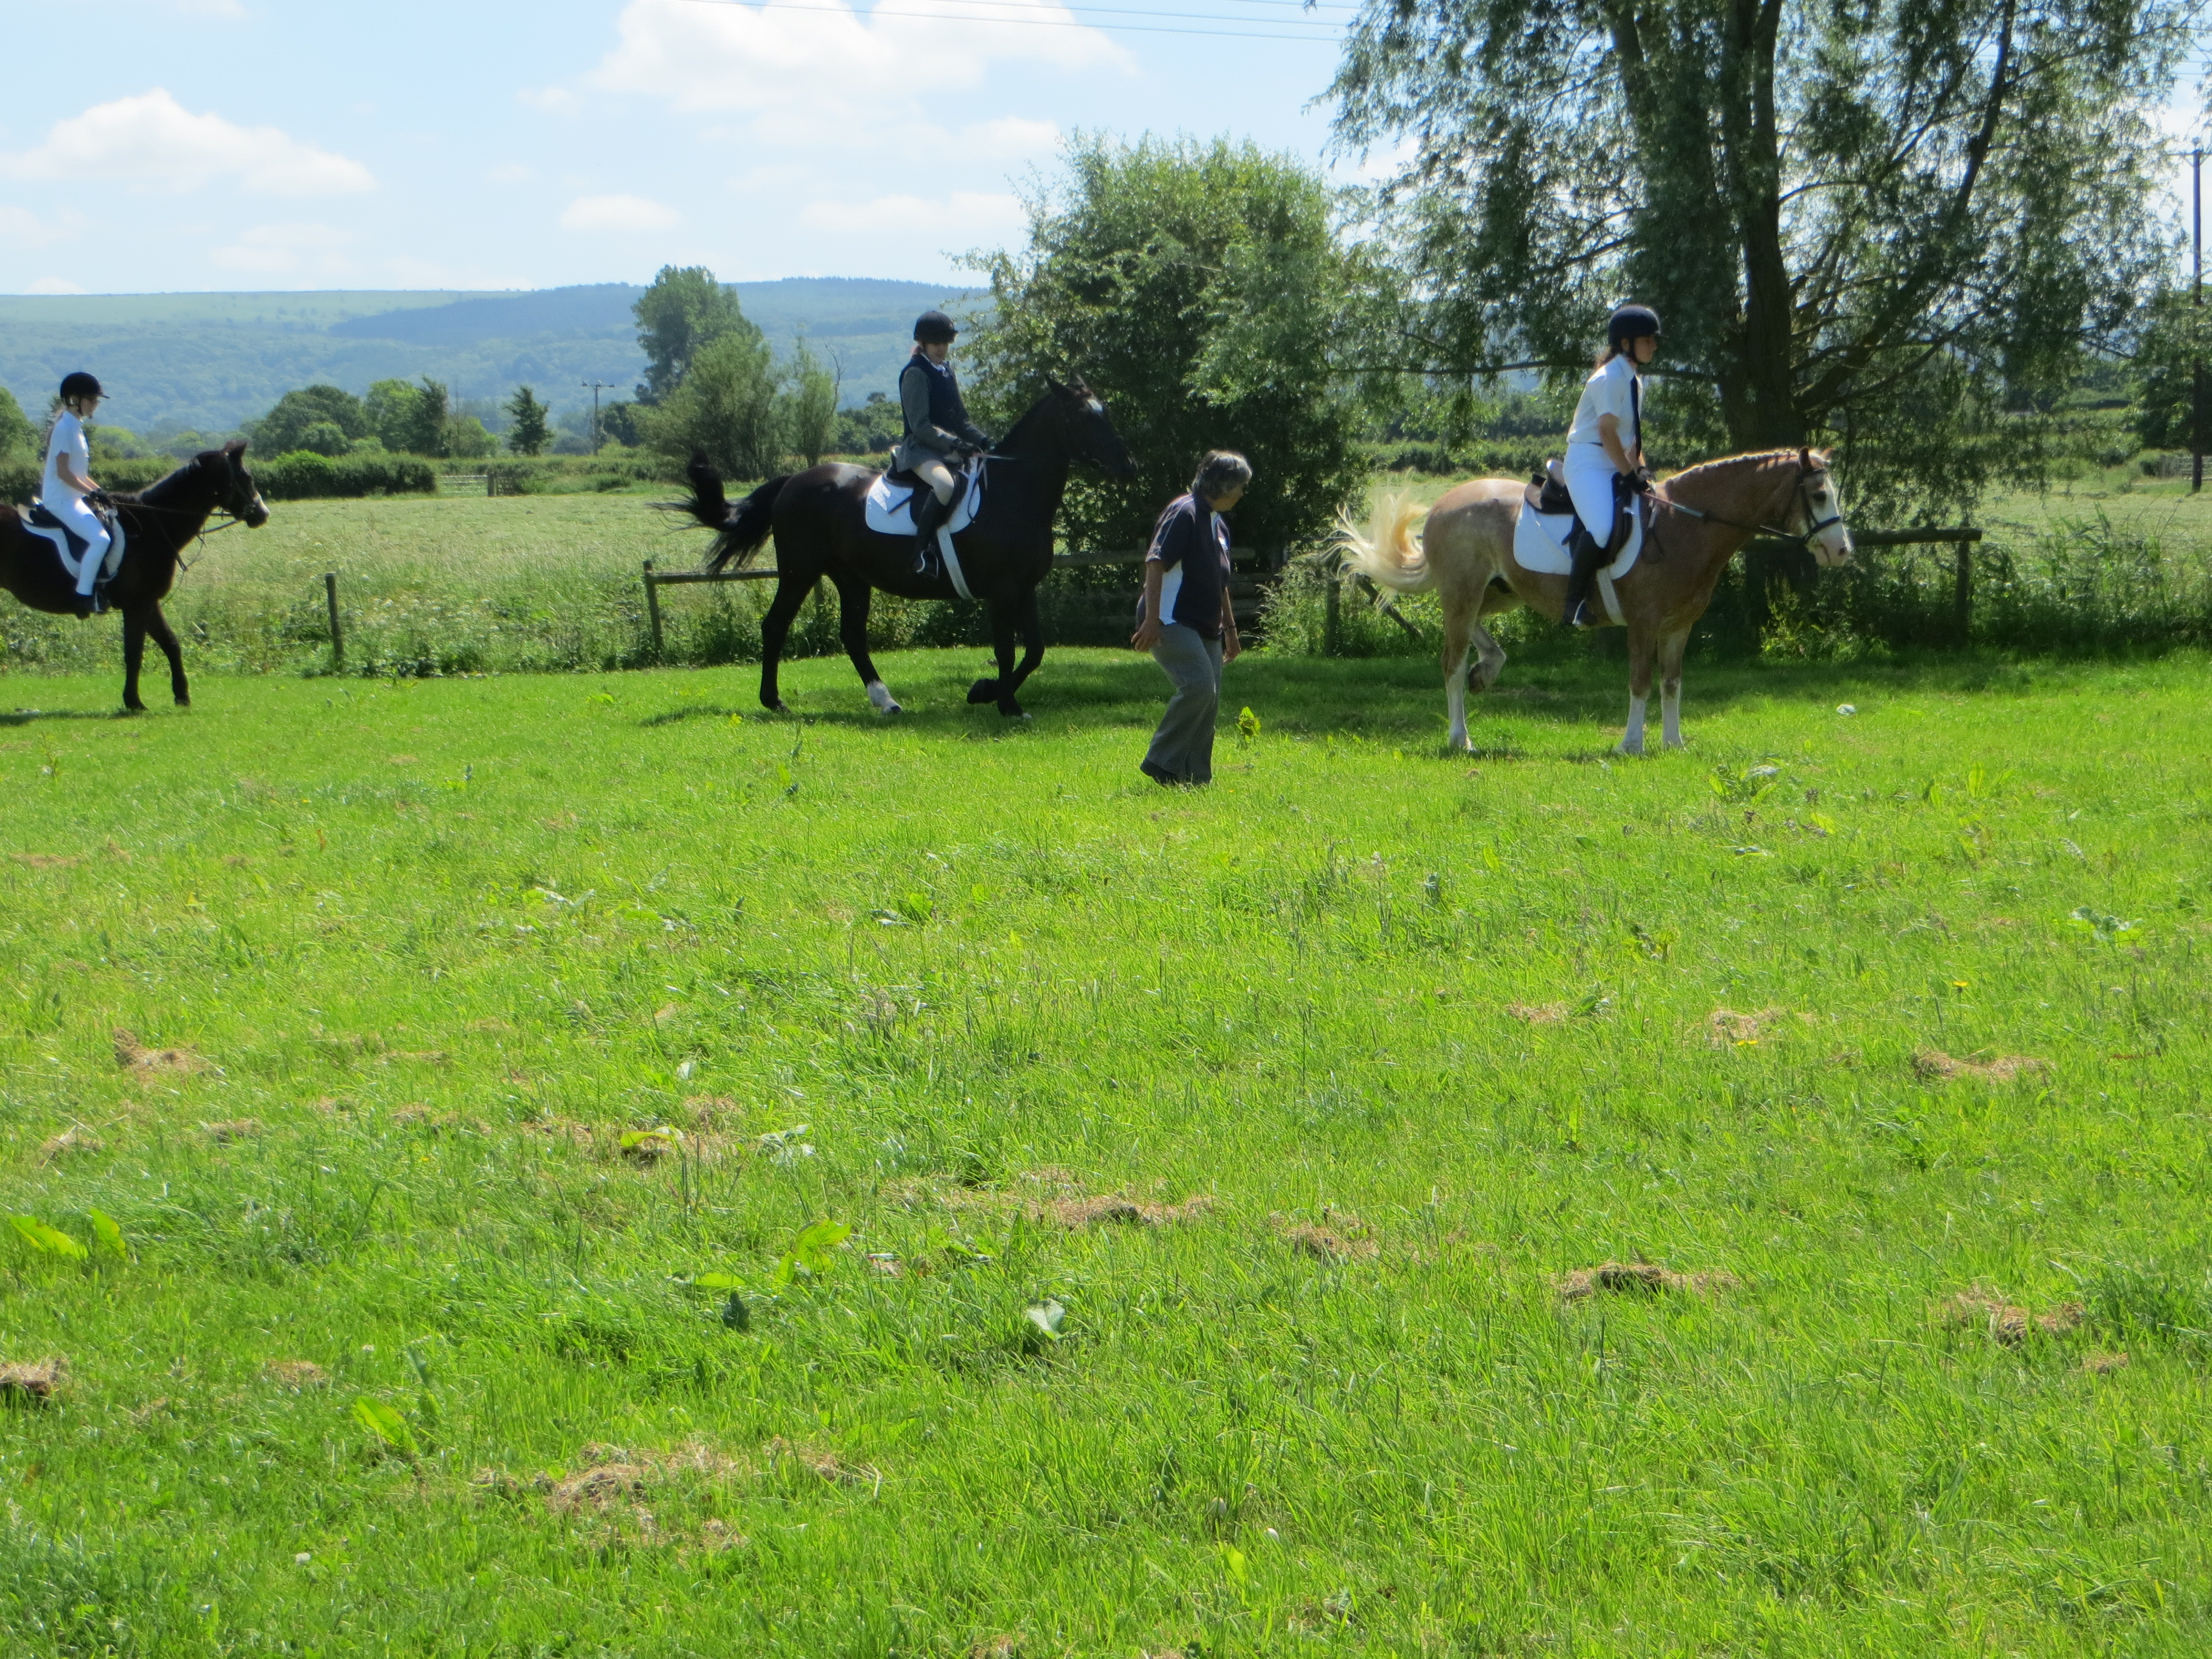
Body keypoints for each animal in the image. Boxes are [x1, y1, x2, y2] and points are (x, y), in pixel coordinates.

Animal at [0, 442, 269, 713]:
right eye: (247, 477)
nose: (263, 514)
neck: (152, 527)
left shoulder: (150, 603)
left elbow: (171, 644)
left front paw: (182, 696)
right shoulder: (137, 605)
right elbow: (134, 653)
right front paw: (134, 702)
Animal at [673, 377, 1136, 718]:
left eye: (1107, 413)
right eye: (1084, 417)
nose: (1128, 468)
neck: (1013, 492)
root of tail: (793, 481)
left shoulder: (1025, 589)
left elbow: (1036, 650)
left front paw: (988, 693)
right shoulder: (1002, 591)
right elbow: (1007, 651)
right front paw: (1002, 701)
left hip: (851, 578)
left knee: (852, 638)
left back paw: (886, 702)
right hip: (799, 572)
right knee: (776, 627)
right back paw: (775, 702)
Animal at [1338, 447, 1853, 755]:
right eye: (1819, 494)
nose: (1842, 551)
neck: (1684, 526)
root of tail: (1445, 504)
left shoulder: (1678, 627)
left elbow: (1672, 684)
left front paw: (1673, 743)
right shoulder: (1644, 623)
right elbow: (1641, 682)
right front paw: (1631, 744)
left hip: (1499, 593)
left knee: (1473, 639)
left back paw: (1487, 669)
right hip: (1463, 592)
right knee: (1451, 659)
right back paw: (1460, 737)